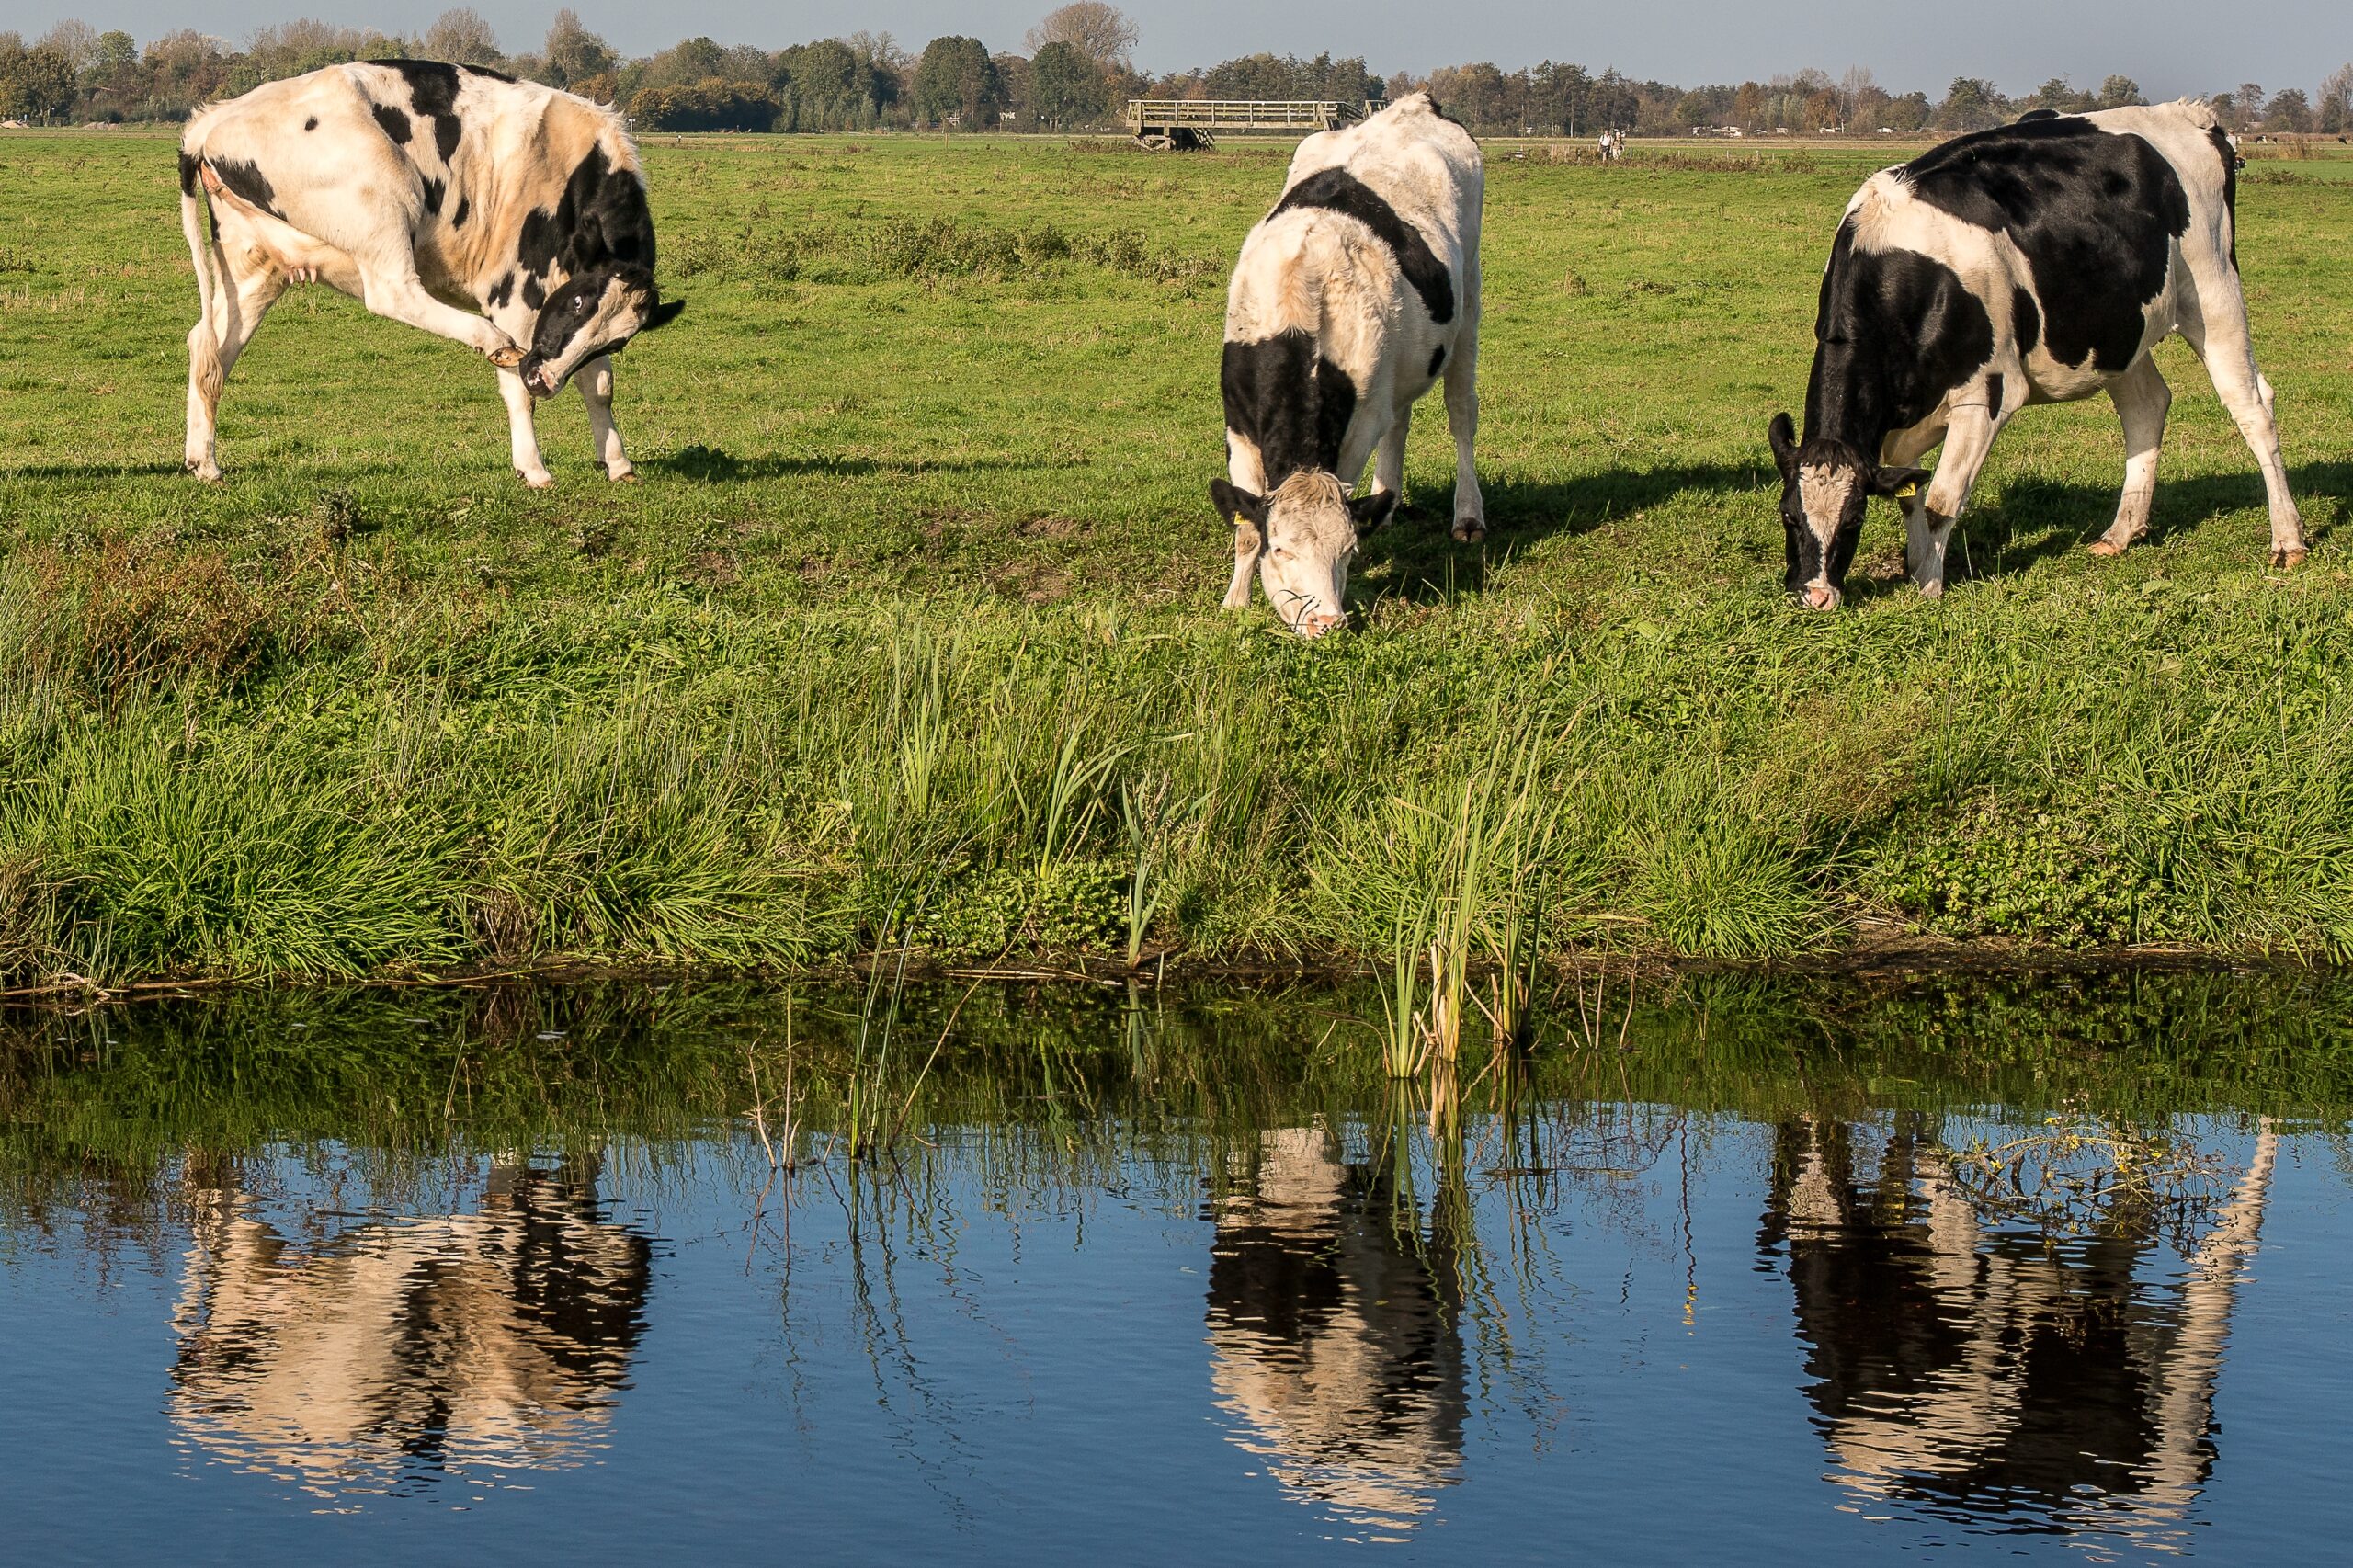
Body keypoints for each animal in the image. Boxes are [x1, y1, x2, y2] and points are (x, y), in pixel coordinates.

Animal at [175, 61, 687, 484]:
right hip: (385, 200)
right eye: (577, 301)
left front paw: (618, 464)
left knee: (210, 346)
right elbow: (517, 388)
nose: (544, 380)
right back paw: (490, 340)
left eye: (619, 342)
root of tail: (213, 120)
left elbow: (599, 385)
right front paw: (534, 468)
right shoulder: (515, 290)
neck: (574, 165)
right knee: (394, 293)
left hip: (255, 263)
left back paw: (204, 461)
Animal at [1204, 93, 1477, 635]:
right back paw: (1387, 505)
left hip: (1472, 297)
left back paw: (1468, 517)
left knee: (1462, 412)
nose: (1327, 622)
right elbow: (1245, 527)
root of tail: (1414, 104)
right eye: (1281, 549)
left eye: (1347, 550)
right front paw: (1235, 602)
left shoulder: (1360, 421)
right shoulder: (1237, 423)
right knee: (1402, 419)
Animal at [1769, 100, 2296, 607]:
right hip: (2116, 329)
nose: (1815, 595)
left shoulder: (1989, 395)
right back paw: (2120, 533)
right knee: (2147, 406)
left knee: (2253, 407)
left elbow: (1941, 500)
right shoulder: (1904, 416)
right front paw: (1914, 563)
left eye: (1854, 519)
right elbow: (1910, 494)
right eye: (1788, 515)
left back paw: (2288, 541)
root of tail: (2193, 116)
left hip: (2214, 294)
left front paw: (1928, 586)